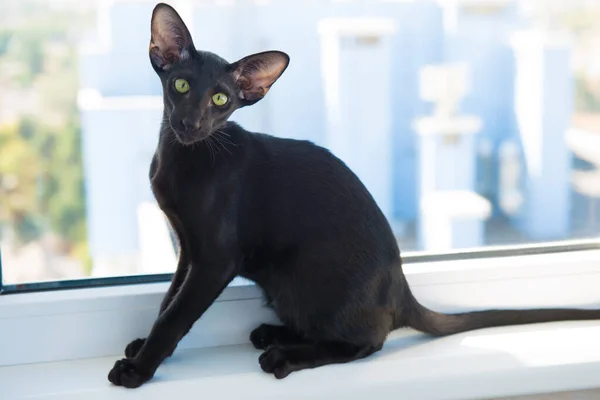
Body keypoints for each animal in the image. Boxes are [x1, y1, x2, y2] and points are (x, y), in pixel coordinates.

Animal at [108, 3, 600, 390]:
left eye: (221, 100)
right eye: (182, 86)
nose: (190, 124)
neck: (182, 158)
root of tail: (399, 287)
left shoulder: (215, 258)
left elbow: (176, 316)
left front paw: (139, 369)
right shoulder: (188, 250)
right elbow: (168, 301)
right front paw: (144, 347)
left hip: (304, 279)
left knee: (367, 341)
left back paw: (282, 355)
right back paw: (274, 335)